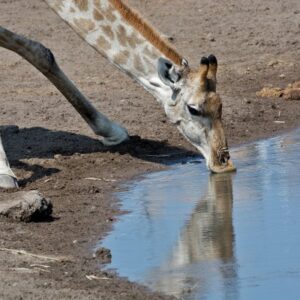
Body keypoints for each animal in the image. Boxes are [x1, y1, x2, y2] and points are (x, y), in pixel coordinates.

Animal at [0, 0, 234, 188]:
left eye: (221, 106)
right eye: (193, 109)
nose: (224, 163)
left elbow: (39, 51)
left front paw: (111, 130)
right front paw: (5, 174)